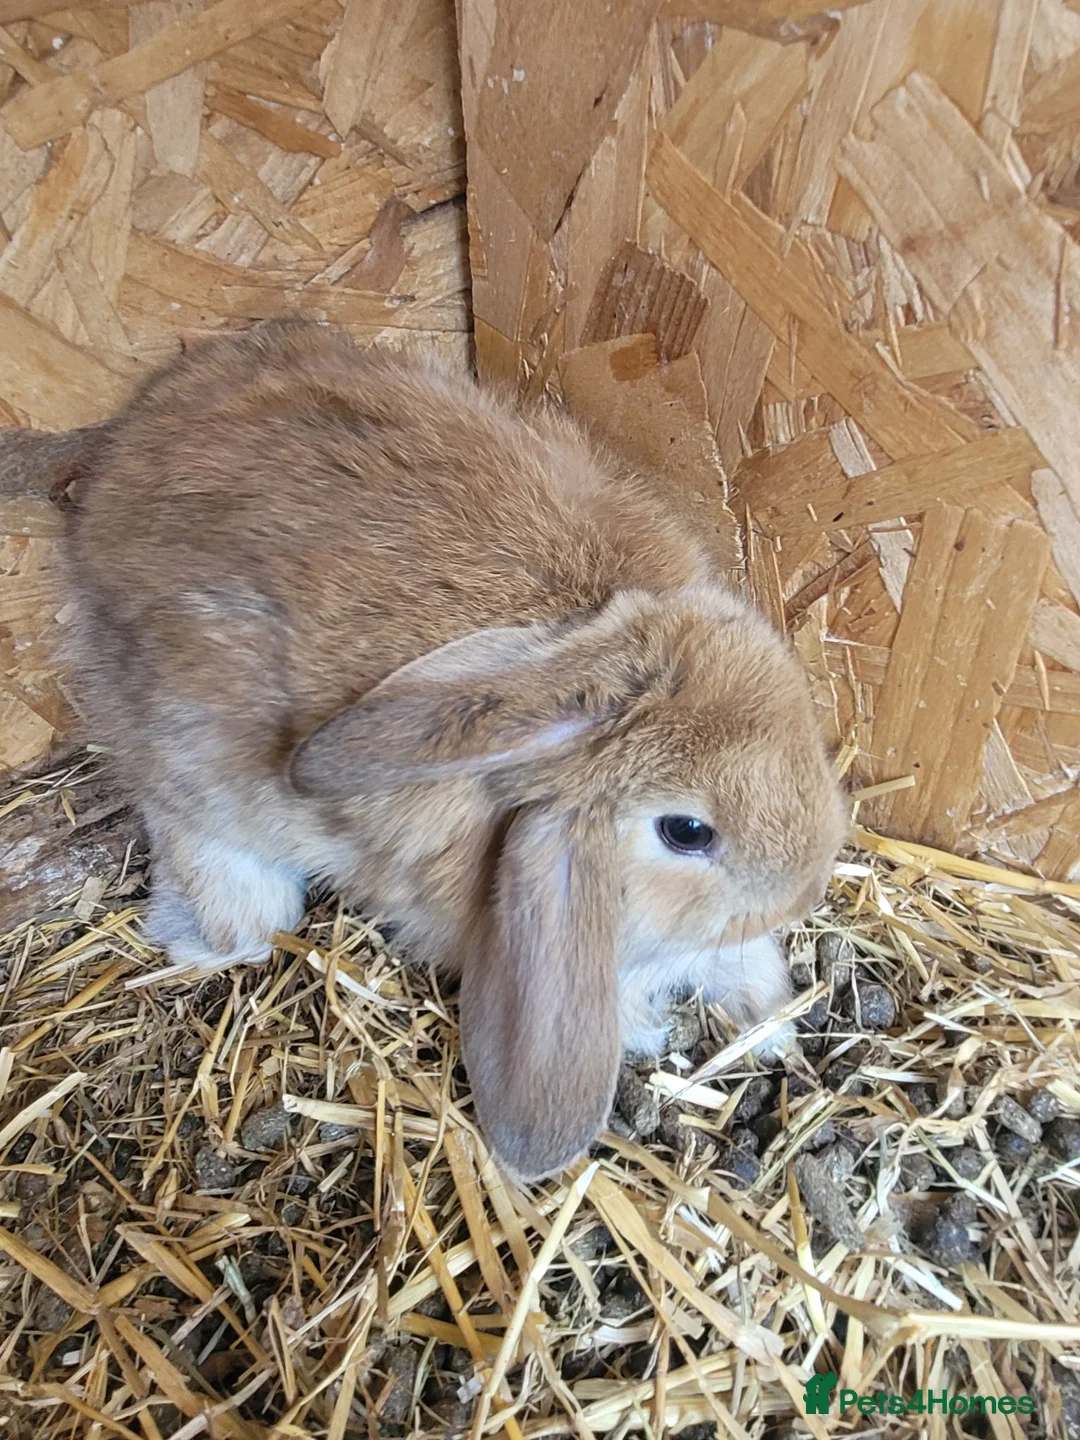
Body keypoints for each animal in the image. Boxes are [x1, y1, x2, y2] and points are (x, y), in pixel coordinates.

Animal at [64, 320, 848, 1181]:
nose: (805, 888)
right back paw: (208, 930)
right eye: (687, 832)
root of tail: (130, 449)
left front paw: (771, 1024)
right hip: (196, 764)